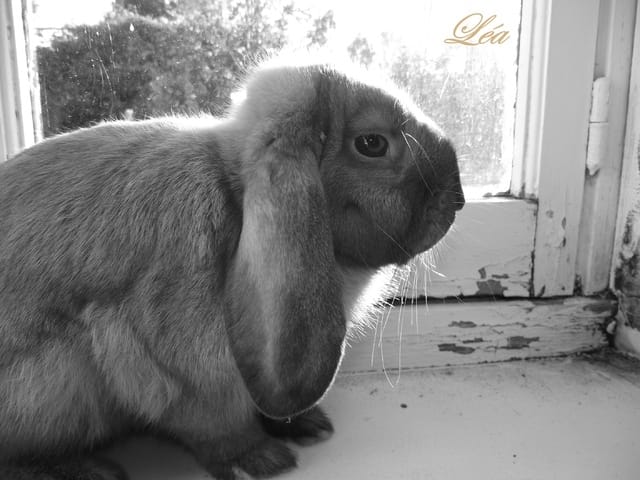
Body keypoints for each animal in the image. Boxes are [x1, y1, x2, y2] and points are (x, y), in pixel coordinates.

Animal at [0, 61, 464, 480]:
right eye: (372, 143)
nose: (457, 199)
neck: (237, 196)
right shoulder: (188, 371)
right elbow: (217, 426)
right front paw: (262, 460)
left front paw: (309, 425)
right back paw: (88, 469)